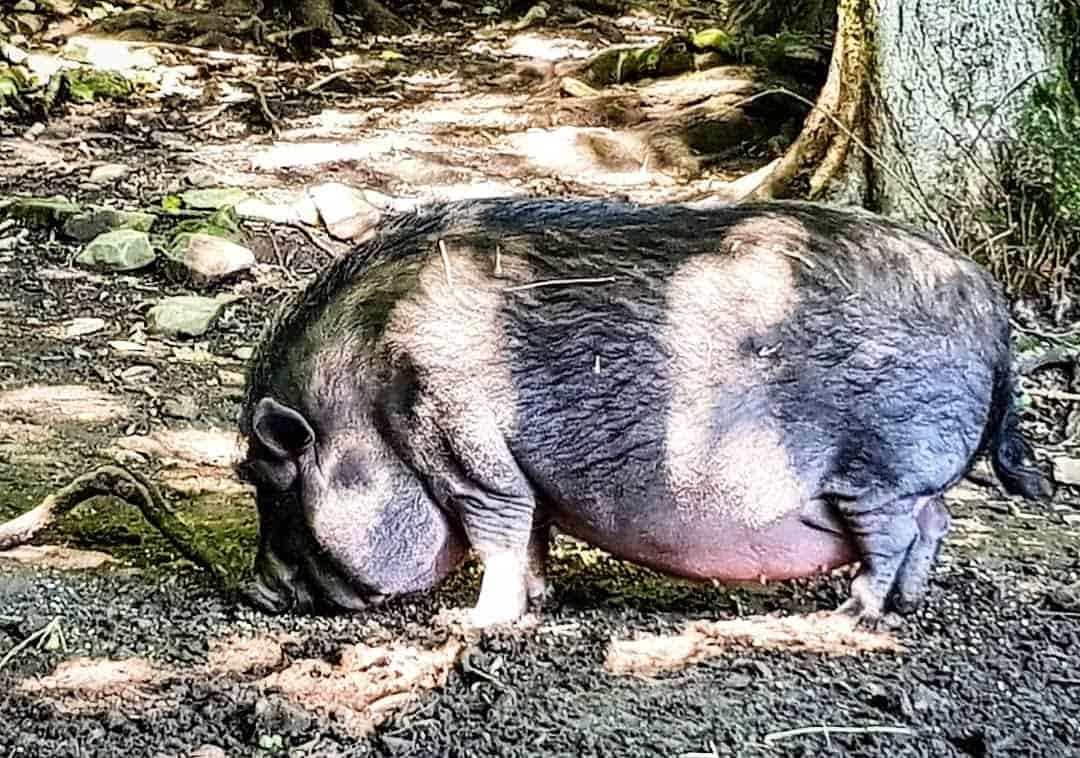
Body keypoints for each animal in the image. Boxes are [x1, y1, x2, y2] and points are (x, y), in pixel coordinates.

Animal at [238, 196, 1054, 630]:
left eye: (269, 482)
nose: (254, 590)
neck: (369, 396)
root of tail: (993, 308)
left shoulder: (464, 446)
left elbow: (499, 531)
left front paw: (479, 621)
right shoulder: (527, 472)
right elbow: (535, 532)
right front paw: (543, 600)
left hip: (881, 469)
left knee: (897, 533)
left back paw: (851, 616)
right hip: (903, 480)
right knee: (936, 521)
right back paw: (905, 607)